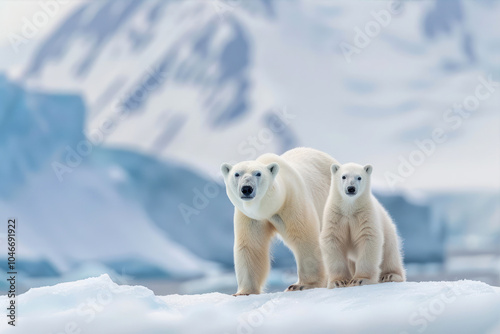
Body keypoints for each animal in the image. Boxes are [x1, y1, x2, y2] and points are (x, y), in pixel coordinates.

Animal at [221, 148, 338, 294]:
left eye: (258, 173)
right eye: (237, 174)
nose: (246, 188)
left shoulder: (292, 202)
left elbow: (305, 238)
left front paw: (302, 285)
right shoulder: (250, 217)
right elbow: (250, 246)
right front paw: (244, 292)